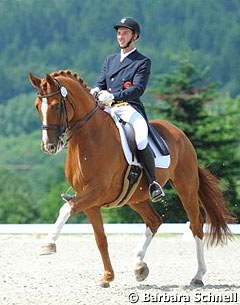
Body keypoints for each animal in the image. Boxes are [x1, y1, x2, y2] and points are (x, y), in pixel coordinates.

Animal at [28, 69, 234, 288]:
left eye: (56, 105)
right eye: (37, 106)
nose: (49, 146)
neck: (90, 138)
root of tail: (180, 133)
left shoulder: (95, 192)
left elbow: (66, 208)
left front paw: (48, 244)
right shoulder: (90, 201)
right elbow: (100, 239)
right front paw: (107, 277)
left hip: (186, 186)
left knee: (196, 224)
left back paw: (198, 276)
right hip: (136, 197)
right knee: (154, 221)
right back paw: (139, 266)